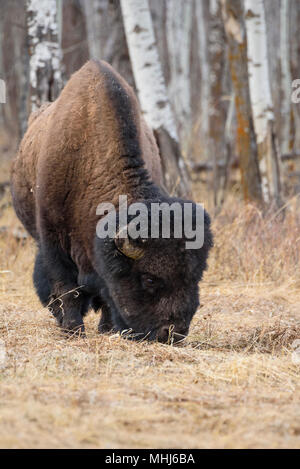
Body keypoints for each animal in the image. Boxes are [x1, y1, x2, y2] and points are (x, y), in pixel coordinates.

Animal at [11, 60, 213, 342]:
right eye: (149, 279)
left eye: (196, 275)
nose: (173, 333)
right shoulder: (53, 239)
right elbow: (66, 286)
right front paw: (73, 330)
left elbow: (107, 294)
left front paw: (107, 329)